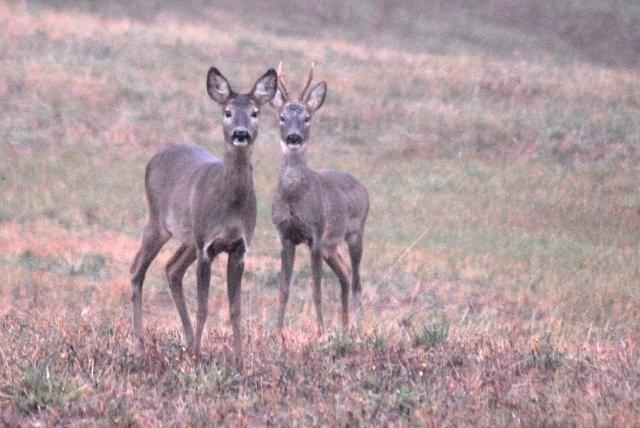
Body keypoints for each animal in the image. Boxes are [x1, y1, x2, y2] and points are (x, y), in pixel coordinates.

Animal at [131, 67, 278, 364]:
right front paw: (199, 357)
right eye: (228, 111)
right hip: (159, 222)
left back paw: (187, 342)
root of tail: (154, 158)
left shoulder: (239, 247)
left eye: (255, 112)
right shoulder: (207, 247)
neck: (229, 207)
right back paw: (141, 347)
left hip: (189, 238)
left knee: (172, 269)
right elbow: (203, 305)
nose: (241, 133)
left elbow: (235, 309)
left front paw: (238, 358)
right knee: (137, 270)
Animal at [270, 63, 370, 332]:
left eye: (307, 117)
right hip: (330, 246)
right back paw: (344, 327)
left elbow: (316, 290)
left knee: (357, 282)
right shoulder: (286, 236)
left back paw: (355, 327)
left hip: (355, 232)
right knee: (345, 275)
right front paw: (277, 331)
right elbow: (283, 289)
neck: (294, 197)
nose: (293, 137)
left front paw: (320, 331)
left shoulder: (314, 234)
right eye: (282, 117)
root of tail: (362, 188)